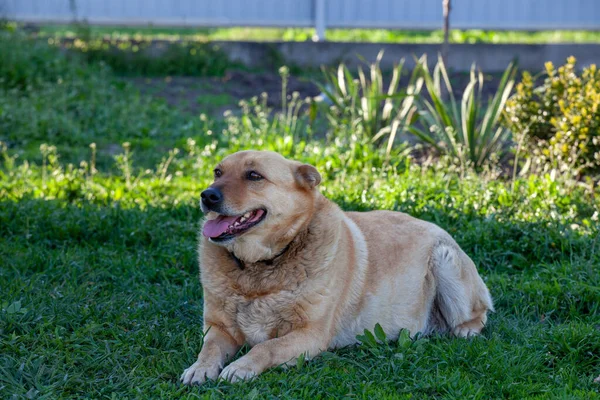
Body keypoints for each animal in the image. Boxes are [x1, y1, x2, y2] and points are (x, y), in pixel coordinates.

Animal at [182, 150, 492, 384]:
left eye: (254, 176)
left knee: (479, 315)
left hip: (445, 261)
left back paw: (463, 331)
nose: (207, 195)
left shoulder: (310, 335)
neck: (259, 267)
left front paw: (241, 366)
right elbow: (209, 348)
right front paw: (200, 368)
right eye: (217, 172)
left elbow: (266, 347)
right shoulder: (218, 328)